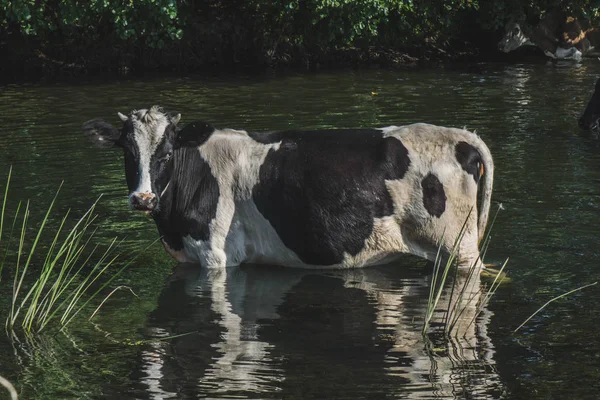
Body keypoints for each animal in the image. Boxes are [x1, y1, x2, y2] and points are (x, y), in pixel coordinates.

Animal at [85, 105, 496, 272]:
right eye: (127, 152)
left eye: (167, 151)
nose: (143, 198)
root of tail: (461, 136)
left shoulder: (216, 256)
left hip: (458, 247)